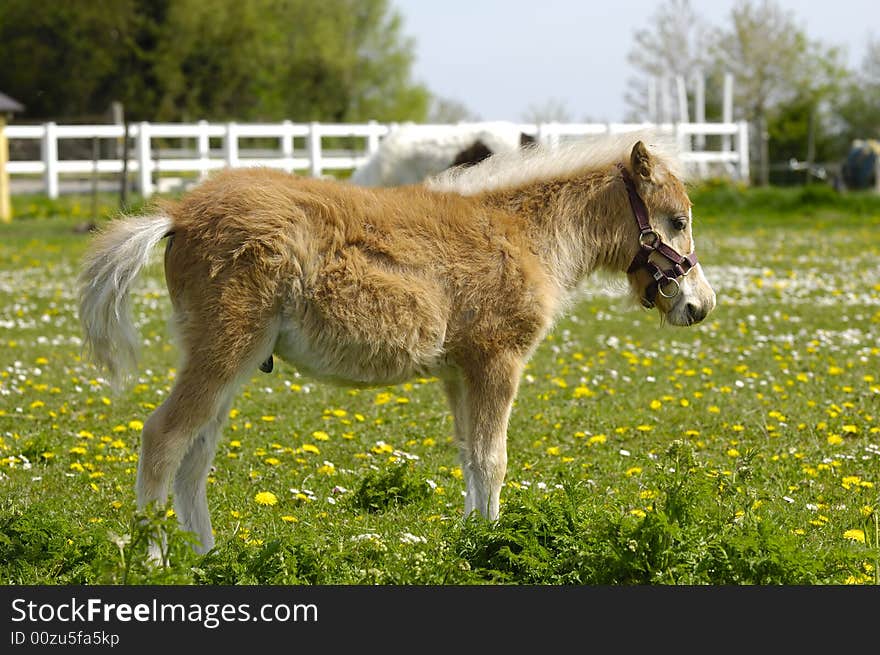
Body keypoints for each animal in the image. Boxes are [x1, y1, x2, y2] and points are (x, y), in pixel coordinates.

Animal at [79, 136, 716, 556]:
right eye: (676, 221)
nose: (699, 306)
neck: (522, 234)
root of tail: (179, 214)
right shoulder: (498, 361)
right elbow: (493, 459)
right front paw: (491, 547)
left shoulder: (459, 372)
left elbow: (469, 457)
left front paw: (470, 542)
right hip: (223, 352)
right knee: (164, 438)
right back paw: (155, 562)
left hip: (230, 363)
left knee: (195, 455)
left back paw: (207, 559)